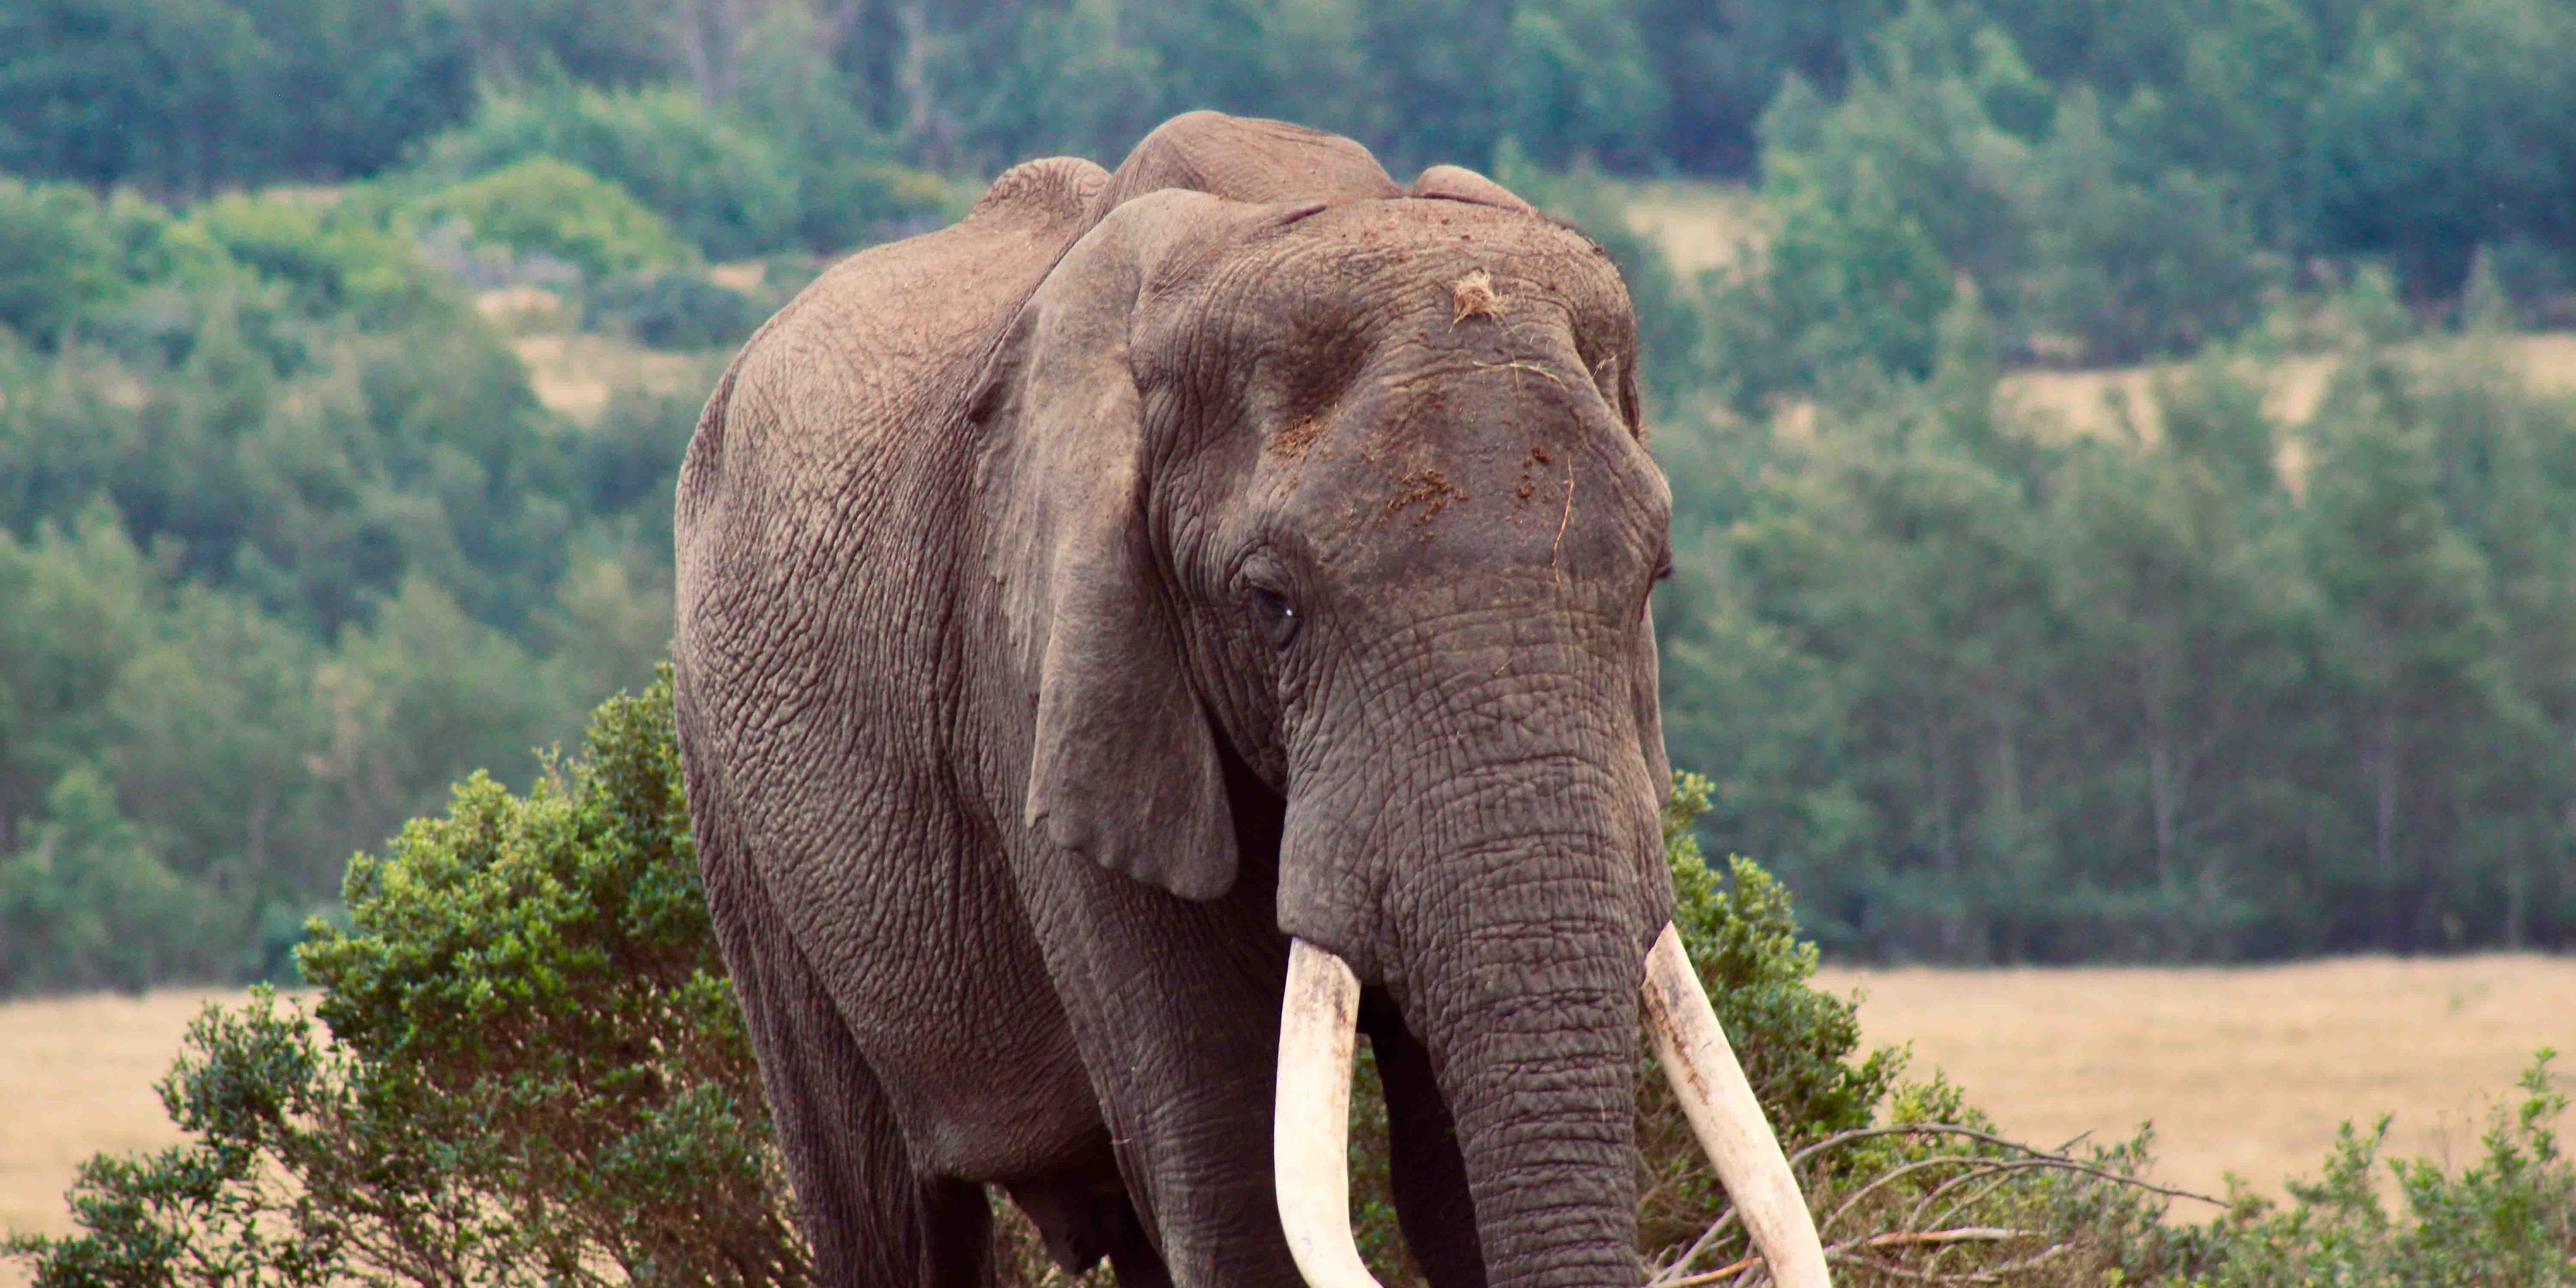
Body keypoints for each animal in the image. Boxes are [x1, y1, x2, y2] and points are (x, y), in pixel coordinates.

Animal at [671, 111, 1829, 1288]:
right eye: (1273, 605)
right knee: (885, 1210)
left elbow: (1447, 1185)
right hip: (733, 808)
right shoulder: (1053, 691)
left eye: (1654, 579)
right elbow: (1229, 1182)